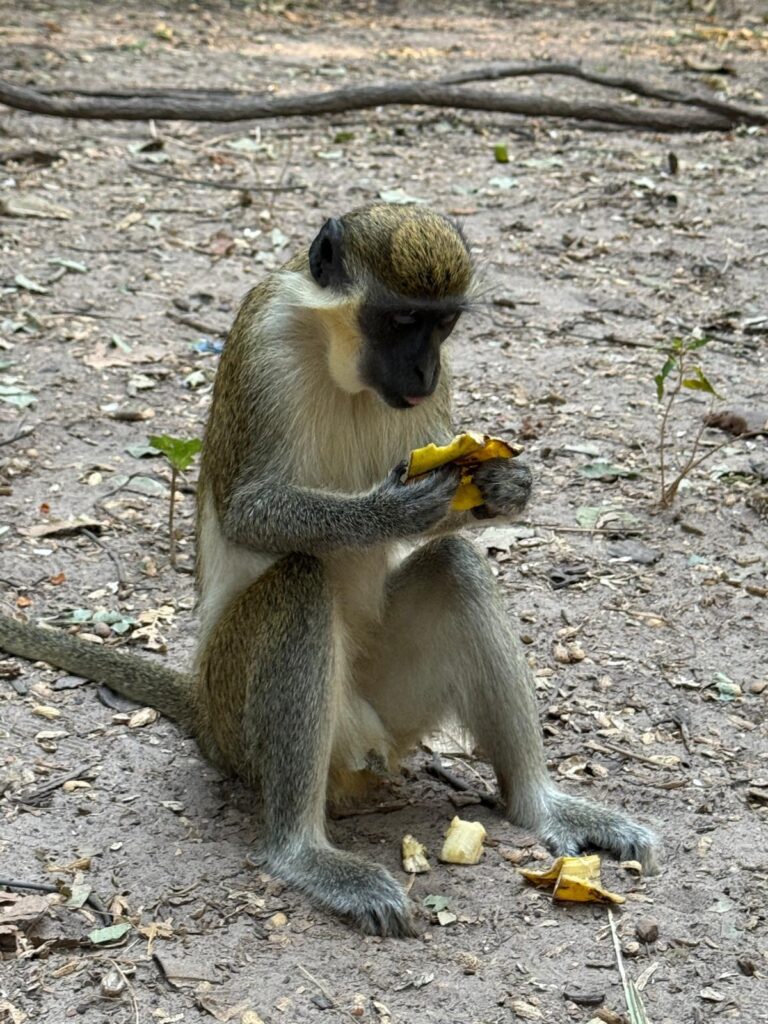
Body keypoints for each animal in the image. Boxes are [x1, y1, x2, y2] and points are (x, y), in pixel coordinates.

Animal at [0, 203, 658, 937]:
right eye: (400, 321)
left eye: (443, 325)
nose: (424, 375)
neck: (337, 355)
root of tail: (202, 704)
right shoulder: (263, 339)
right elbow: (248, 511)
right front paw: (390, 510)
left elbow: (454, 513)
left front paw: (505, 484)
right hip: (238, 714)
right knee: (299, 582)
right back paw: (303, 853)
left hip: (391, 704)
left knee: (457, 565)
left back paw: (540, 805)